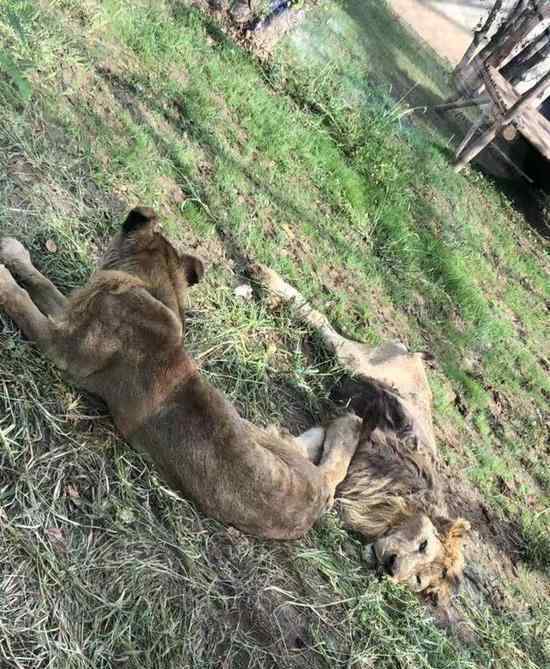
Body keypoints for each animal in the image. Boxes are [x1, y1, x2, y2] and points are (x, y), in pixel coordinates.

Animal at [0, 209, 470, 612]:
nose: (394, 569)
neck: (151, 289)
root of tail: (315, 503)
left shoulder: (60, 348)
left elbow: (22, 299)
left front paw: (4, 274)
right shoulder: (69, 312)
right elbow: (40, 282)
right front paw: (14, 252)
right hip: (269, 433)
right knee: (326, 448)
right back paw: (345, 421)